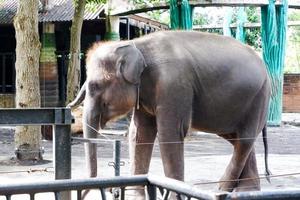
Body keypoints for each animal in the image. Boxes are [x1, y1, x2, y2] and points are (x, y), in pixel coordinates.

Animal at [68, 30, 272, 196]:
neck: (136, 44)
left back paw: (223, 189)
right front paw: (135, 194)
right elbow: (140, 134)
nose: (110, 190)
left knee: (244, 139)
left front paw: (175, 192)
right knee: (237, 138)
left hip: (259, 96)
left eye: (95, 86)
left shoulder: (173, 85)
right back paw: (247, 191)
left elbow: (169, 133)